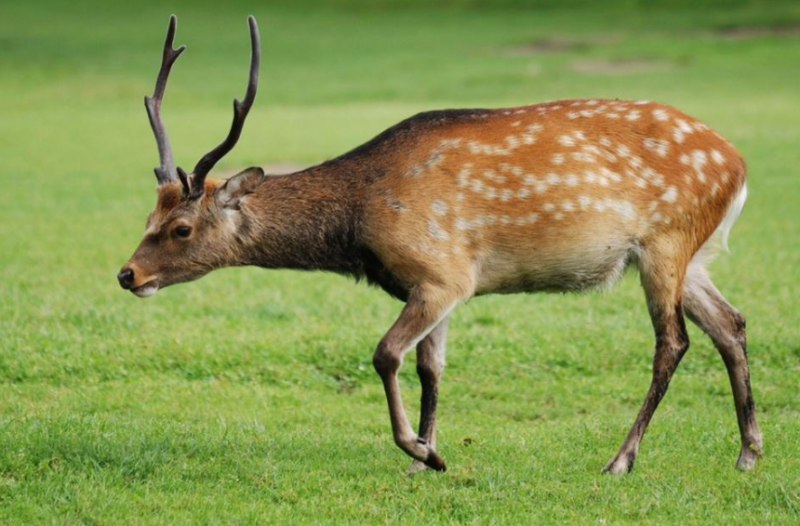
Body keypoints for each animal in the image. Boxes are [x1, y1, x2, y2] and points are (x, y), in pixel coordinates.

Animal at [118, 14, 762, 475]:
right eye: (149, 213)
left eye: (181, 228)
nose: (127, 274)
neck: (360, 222)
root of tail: (737, 165)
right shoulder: (439, 284)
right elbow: (432, 366)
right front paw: (427, 457)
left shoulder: (442, 271)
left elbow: (386, 354)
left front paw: (419, 450)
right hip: (690, 254)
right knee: (730, 324)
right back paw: (748, 453)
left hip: (666, 240)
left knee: (672, 342)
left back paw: (621, 459)